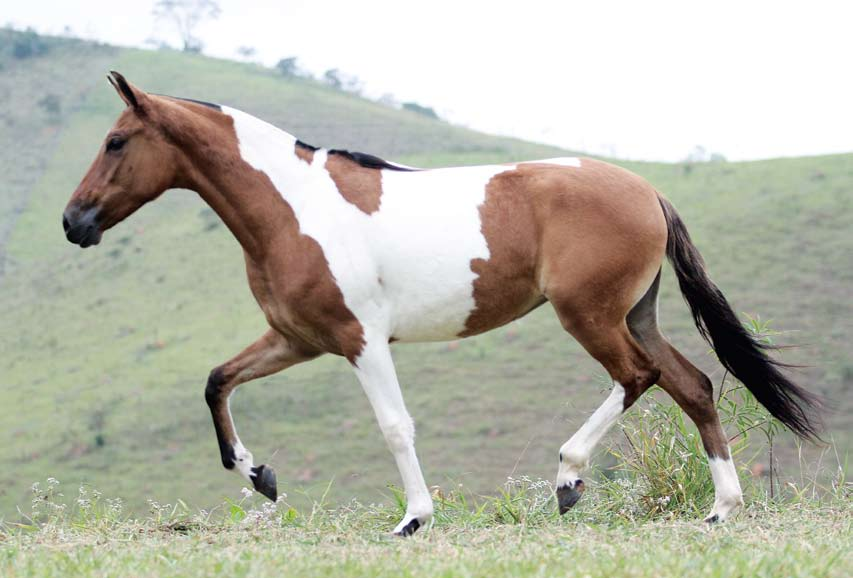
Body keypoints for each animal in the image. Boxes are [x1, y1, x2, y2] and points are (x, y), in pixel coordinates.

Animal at [61, 72, 820, 536]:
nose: (74, 223)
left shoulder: (359, 339)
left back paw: (569, 478)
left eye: (116, 141)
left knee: (640, 377)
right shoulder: (296, 338)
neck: (294, 209)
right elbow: (217, 381)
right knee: (692, 384)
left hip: (589, 315)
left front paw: (414, 518)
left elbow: (396, 427)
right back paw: (721, 509)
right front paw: (262, 478)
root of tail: (647, 191)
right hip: (634, 313)